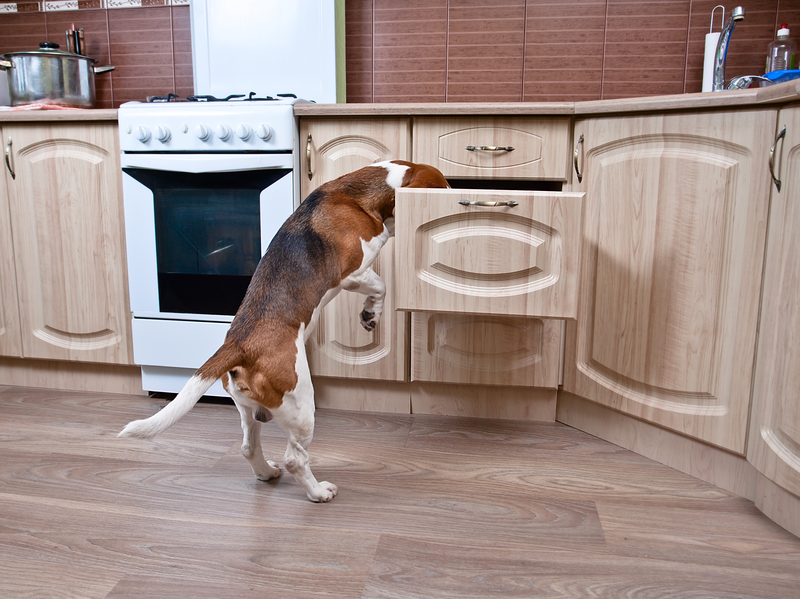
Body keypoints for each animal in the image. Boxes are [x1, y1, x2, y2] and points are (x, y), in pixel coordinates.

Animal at [119, 159, 450, 502]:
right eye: (443, 188)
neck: (359, 194)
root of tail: (239, 344)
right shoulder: (353, 273)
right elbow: (381, 286)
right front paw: (371, 314)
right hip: (302, 405)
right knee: (295, 458)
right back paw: (318, 492)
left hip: (249, 410)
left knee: (249, 448)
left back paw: (266, 472)